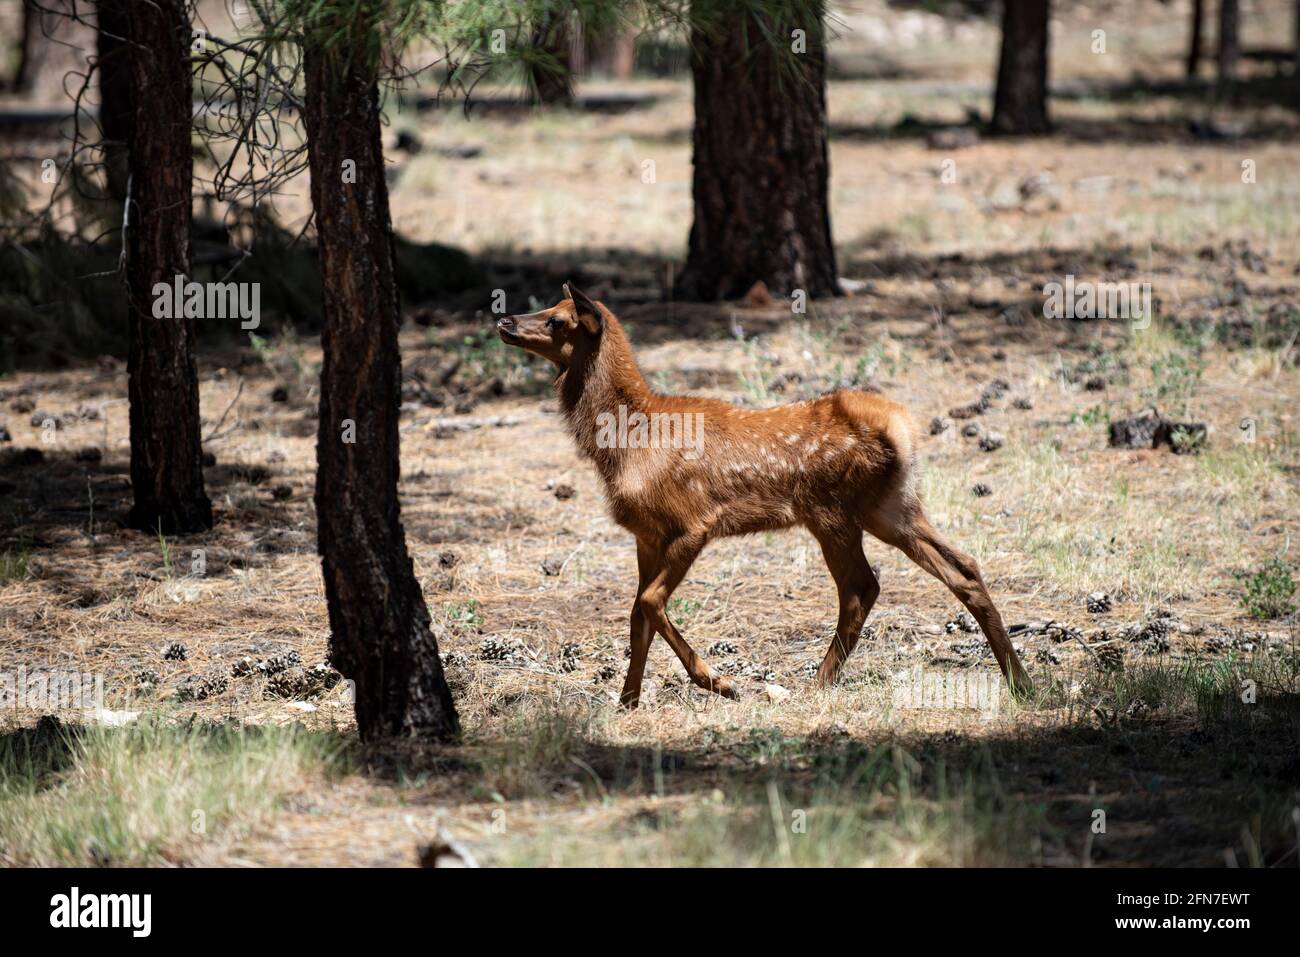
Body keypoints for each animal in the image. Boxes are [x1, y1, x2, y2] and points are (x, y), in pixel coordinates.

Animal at [496, 284, 1033, 708]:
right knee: (963, 566)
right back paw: (1022, 682)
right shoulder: (646, 534)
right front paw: (627, 701)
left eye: (558, 318)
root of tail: (899, 429)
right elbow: (636, 615)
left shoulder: (695, 522)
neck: (626, 443)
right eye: (547, 306)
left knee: (861, 587)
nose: (504, 319)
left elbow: (648, 602)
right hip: (891, 506)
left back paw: (816, 684)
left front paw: (720, 681)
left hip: (832, 512)